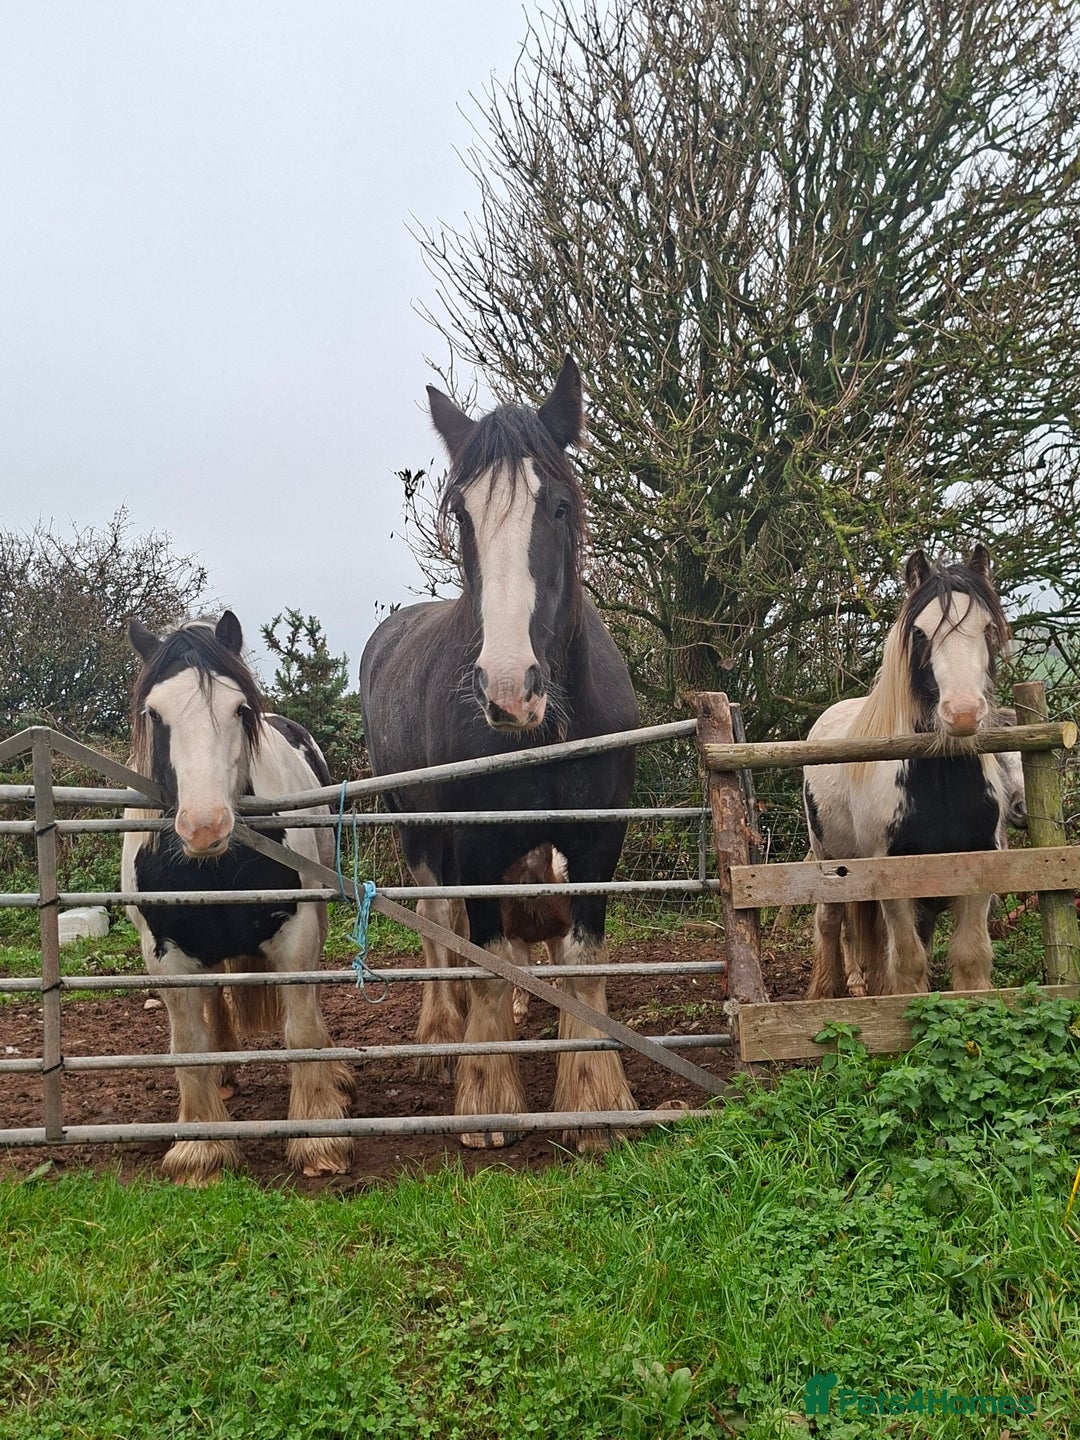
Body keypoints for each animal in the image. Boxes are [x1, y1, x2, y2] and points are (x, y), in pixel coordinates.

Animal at [121, 611, 352, 1183]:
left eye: (238, 709)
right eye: (154, 713)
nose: (205, 827)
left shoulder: (295, 935)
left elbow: (300, 1031)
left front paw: (318, 1138)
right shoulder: (165, 954)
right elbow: (189, 1045)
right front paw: (200, 1150)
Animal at [360, 356, 638, 1150]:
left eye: (560, 507)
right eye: (463, 514)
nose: (510, 688)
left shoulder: (598, 838)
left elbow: (579, 955)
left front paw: (592, 1099)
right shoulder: (474, 842)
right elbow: (479, 953)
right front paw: (486, 1096)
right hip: (414, 828)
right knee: (441, 925)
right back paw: (443, 1034)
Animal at [802, 546, 1013, 999]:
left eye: (987, 628)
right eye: (919, 632)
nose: (963, 713)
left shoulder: (978, 870)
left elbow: (969, 958)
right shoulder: (894, 880)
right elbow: (909, 964)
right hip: (830, 861)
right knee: (830, 923)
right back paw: (827, 992)